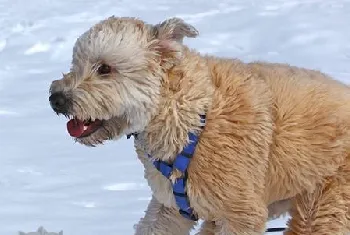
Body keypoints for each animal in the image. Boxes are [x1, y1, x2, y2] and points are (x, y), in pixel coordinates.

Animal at [48, 15, 350, 234]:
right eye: (76, 63)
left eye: (105, 68)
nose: (55, 99)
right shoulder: (169, 208)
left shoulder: (241, 214)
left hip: (326, 204)